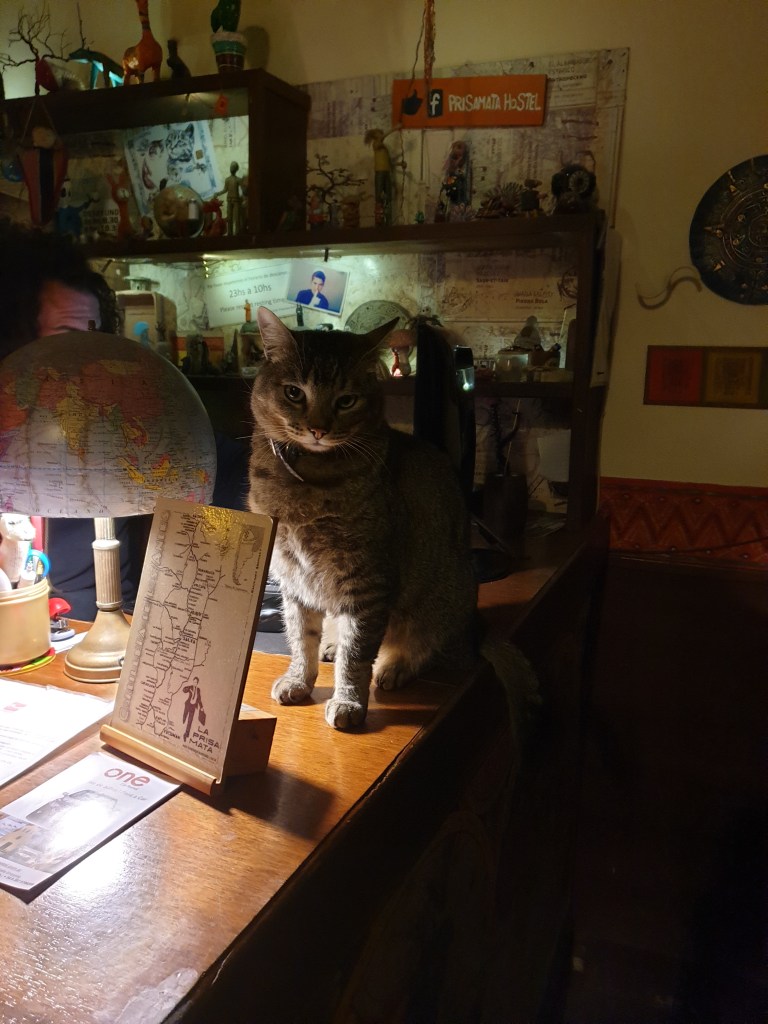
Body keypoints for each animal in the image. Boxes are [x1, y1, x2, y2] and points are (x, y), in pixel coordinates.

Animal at [248, 306, 478, 730]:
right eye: (294, 393)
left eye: (346, 401)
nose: (318, 429)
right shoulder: (291, 577)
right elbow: (299, 636)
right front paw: (299, 679)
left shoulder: (368, 583)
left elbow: (356, 654)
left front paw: (349, 701)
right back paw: (330, 644)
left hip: (440, 601)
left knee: (421, 644)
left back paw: (394, 667)